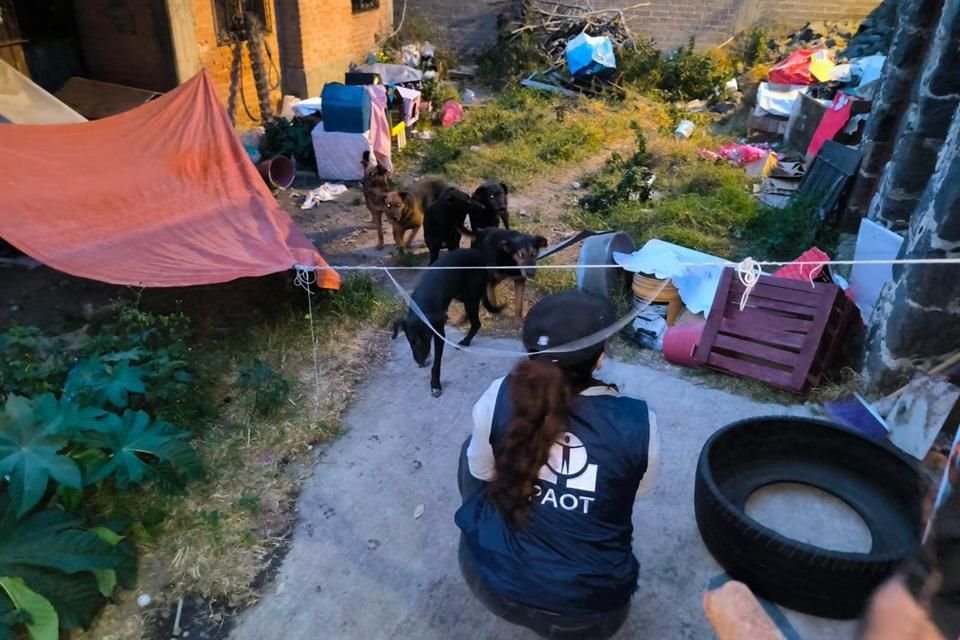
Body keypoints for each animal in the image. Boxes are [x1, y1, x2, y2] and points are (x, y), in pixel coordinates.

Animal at [392, 249, 506, 396]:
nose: (422, 362)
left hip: (470, 298)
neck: (423, 302)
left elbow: (436, 364)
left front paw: (435, 384)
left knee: (477, 323)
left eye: (426, 338)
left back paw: (465, 341)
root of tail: (479, 255)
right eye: (412, 340)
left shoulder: (439, 334)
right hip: (462, 296)